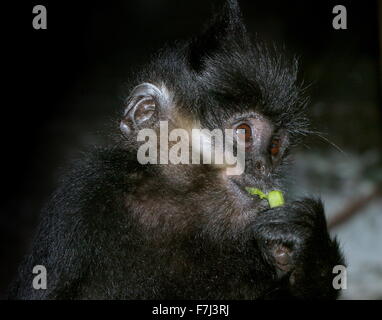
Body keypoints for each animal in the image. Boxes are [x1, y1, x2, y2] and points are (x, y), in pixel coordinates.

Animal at [8, 0, 344, 300]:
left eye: (274, 147)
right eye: (245, 133)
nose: (264, 168)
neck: (181, 210)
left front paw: (304, 245)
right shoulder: (83, 200)